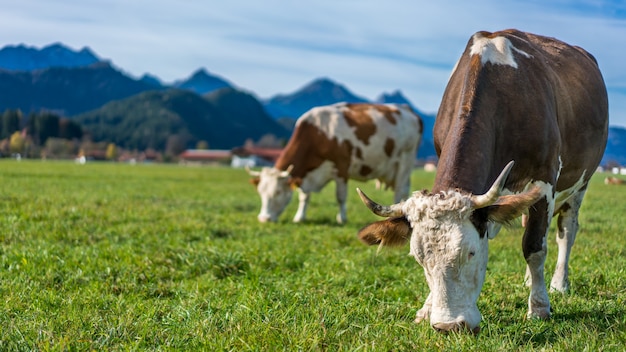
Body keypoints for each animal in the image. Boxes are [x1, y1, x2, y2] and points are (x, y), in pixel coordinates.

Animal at [246, 102, 422, 223]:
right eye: (260, 192)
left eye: (277, 192)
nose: (263, 219)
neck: (319, 134)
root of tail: (407, 109)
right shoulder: (306, 174)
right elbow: (304, 196)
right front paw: (299, 217)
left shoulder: (341, 168)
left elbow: (340, 197)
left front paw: (342, 219)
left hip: (405, 160)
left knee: (399, 190)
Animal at [356, 29, 604, 332]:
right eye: (419, 259)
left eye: (471, 252)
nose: (449, 326)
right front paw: (427, 308)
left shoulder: (544, 180)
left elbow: (534, 246)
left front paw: (539, 308)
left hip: (580, 184)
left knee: (565, 232)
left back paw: (558, 283)